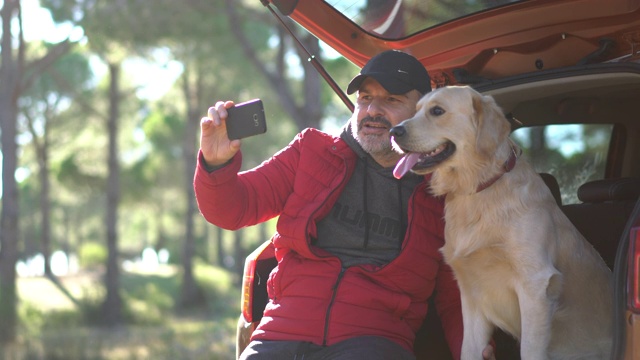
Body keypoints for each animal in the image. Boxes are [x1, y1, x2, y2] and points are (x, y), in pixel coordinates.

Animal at [392, 86, 612, 358]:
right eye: (415, 111)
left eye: (437, 111)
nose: (393, 132)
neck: (479, 188)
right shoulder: (471, 295)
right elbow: (469, 349)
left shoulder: (535, 285)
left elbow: (530, 350)